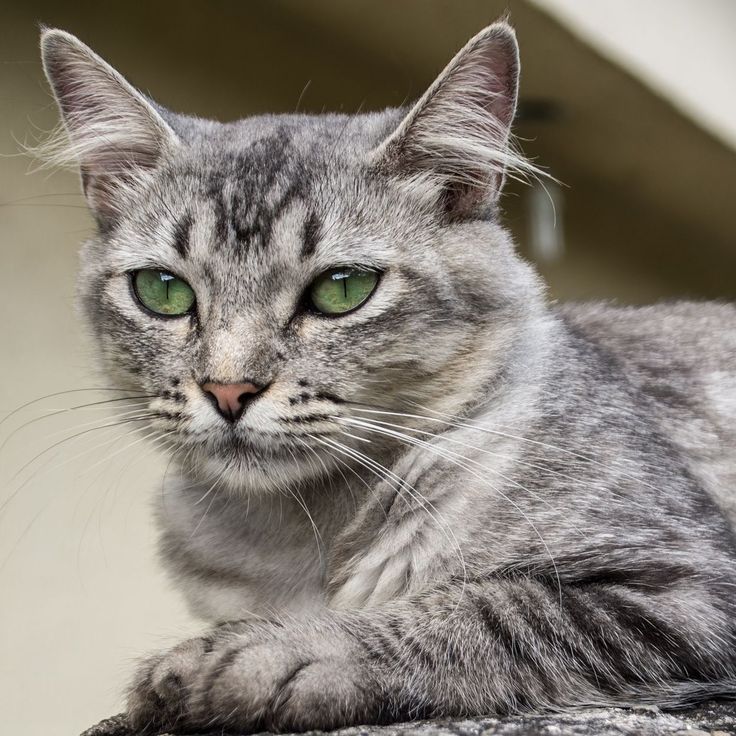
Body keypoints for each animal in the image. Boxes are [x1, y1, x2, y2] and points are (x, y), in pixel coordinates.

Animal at [38, 20, 736, 732]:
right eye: (162, 291)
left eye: (343, 289)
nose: (228, 390)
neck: (304, 535)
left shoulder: (686, 584)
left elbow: (476, 612)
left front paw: (263, 654)